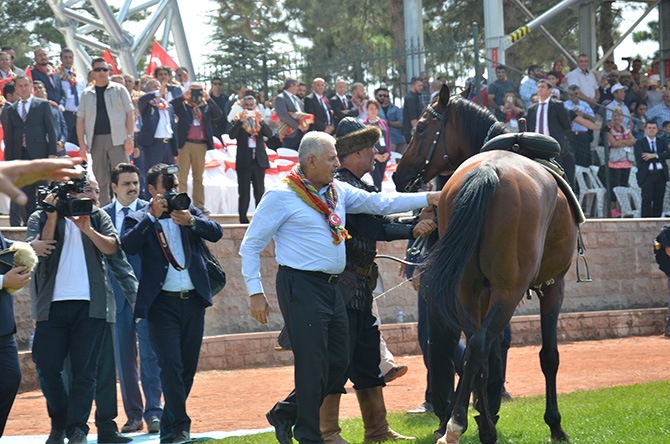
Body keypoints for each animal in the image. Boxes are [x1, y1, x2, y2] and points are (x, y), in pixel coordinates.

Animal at [394, 84, 576, 444]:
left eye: (420, 128)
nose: (396, 174)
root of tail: (487, 171)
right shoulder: (553, 285)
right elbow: (548, 356)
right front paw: (555, 424)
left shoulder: (482, 289)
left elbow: (486, 355)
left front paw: (482, 413)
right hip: (510, 289)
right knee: (477, 345)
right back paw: (459, 424)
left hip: (466, 287)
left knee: (472, 348)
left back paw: (470, 423)